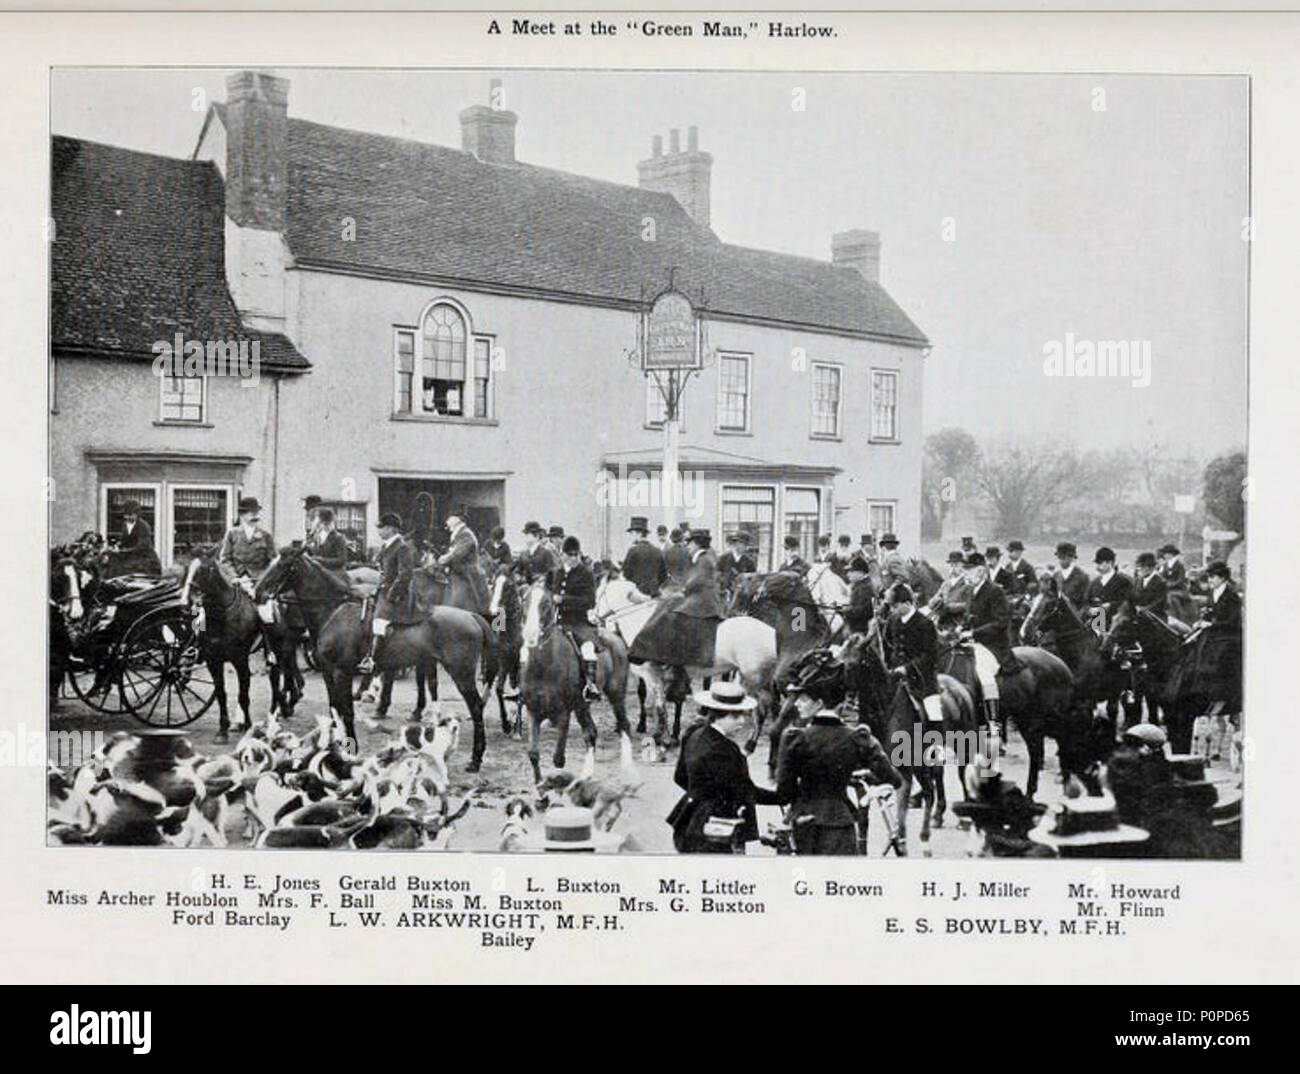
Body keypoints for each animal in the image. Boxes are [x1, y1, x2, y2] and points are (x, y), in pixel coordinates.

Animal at [522, 582, 634, 780]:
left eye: (546, 603)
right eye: (525, 600)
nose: (530, 634)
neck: (543, 666)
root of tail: (615, 636)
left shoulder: (564, 712)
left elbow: (558, 758)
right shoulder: (533, 711)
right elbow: (533, 753)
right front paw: (540, 786)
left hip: (616, 695)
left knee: (624, 726)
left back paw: (627, 766)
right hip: (582, 705)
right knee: (591, 733)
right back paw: (587, 773)